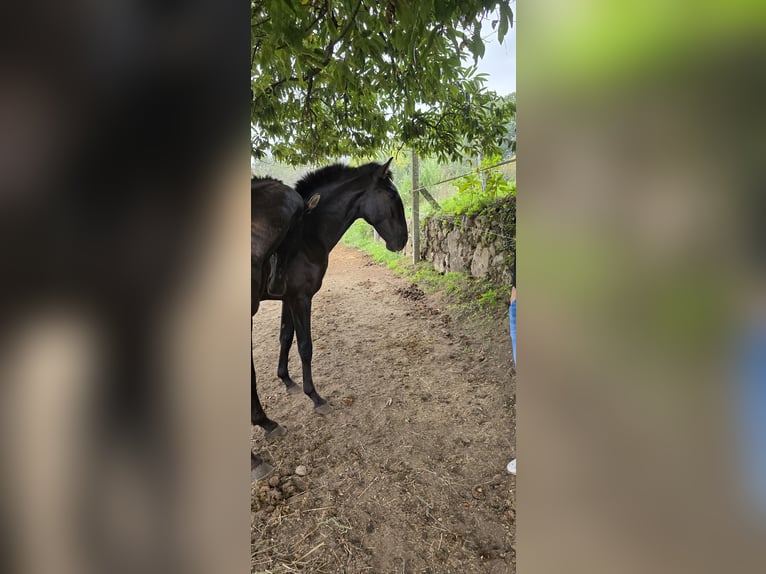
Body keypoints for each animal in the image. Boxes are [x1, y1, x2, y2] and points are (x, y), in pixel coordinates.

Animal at [255, 158, 408, 417]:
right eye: (392, 197)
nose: (403, 240)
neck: (306, 236)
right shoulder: (301, 299)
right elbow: (305, 346)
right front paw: (315, 397)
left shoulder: (288, 299)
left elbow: (285, 337)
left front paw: (287, 380)